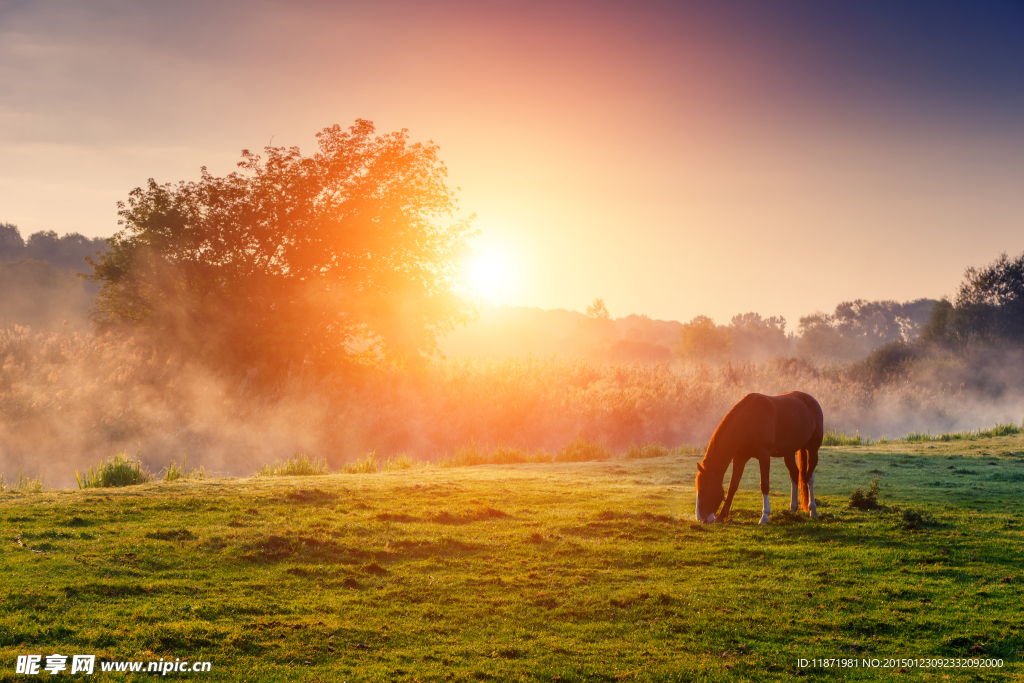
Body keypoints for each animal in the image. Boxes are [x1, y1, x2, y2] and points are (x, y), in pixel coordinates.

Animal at [696, 389, 823, 524]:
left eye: (703, 490)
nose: (700, 518)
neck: (748, 420)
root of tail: (812, 401)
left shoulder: (764, 456)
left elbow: (764, 485)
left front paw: (765, 516)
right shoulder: (740, 458)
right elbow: (732, 486)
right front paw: (721, 516)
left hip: (812, 449)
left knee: (809, 478)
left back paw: (813, 510)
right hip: (788, 452)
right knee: (795, 474)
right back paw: (793, 509)